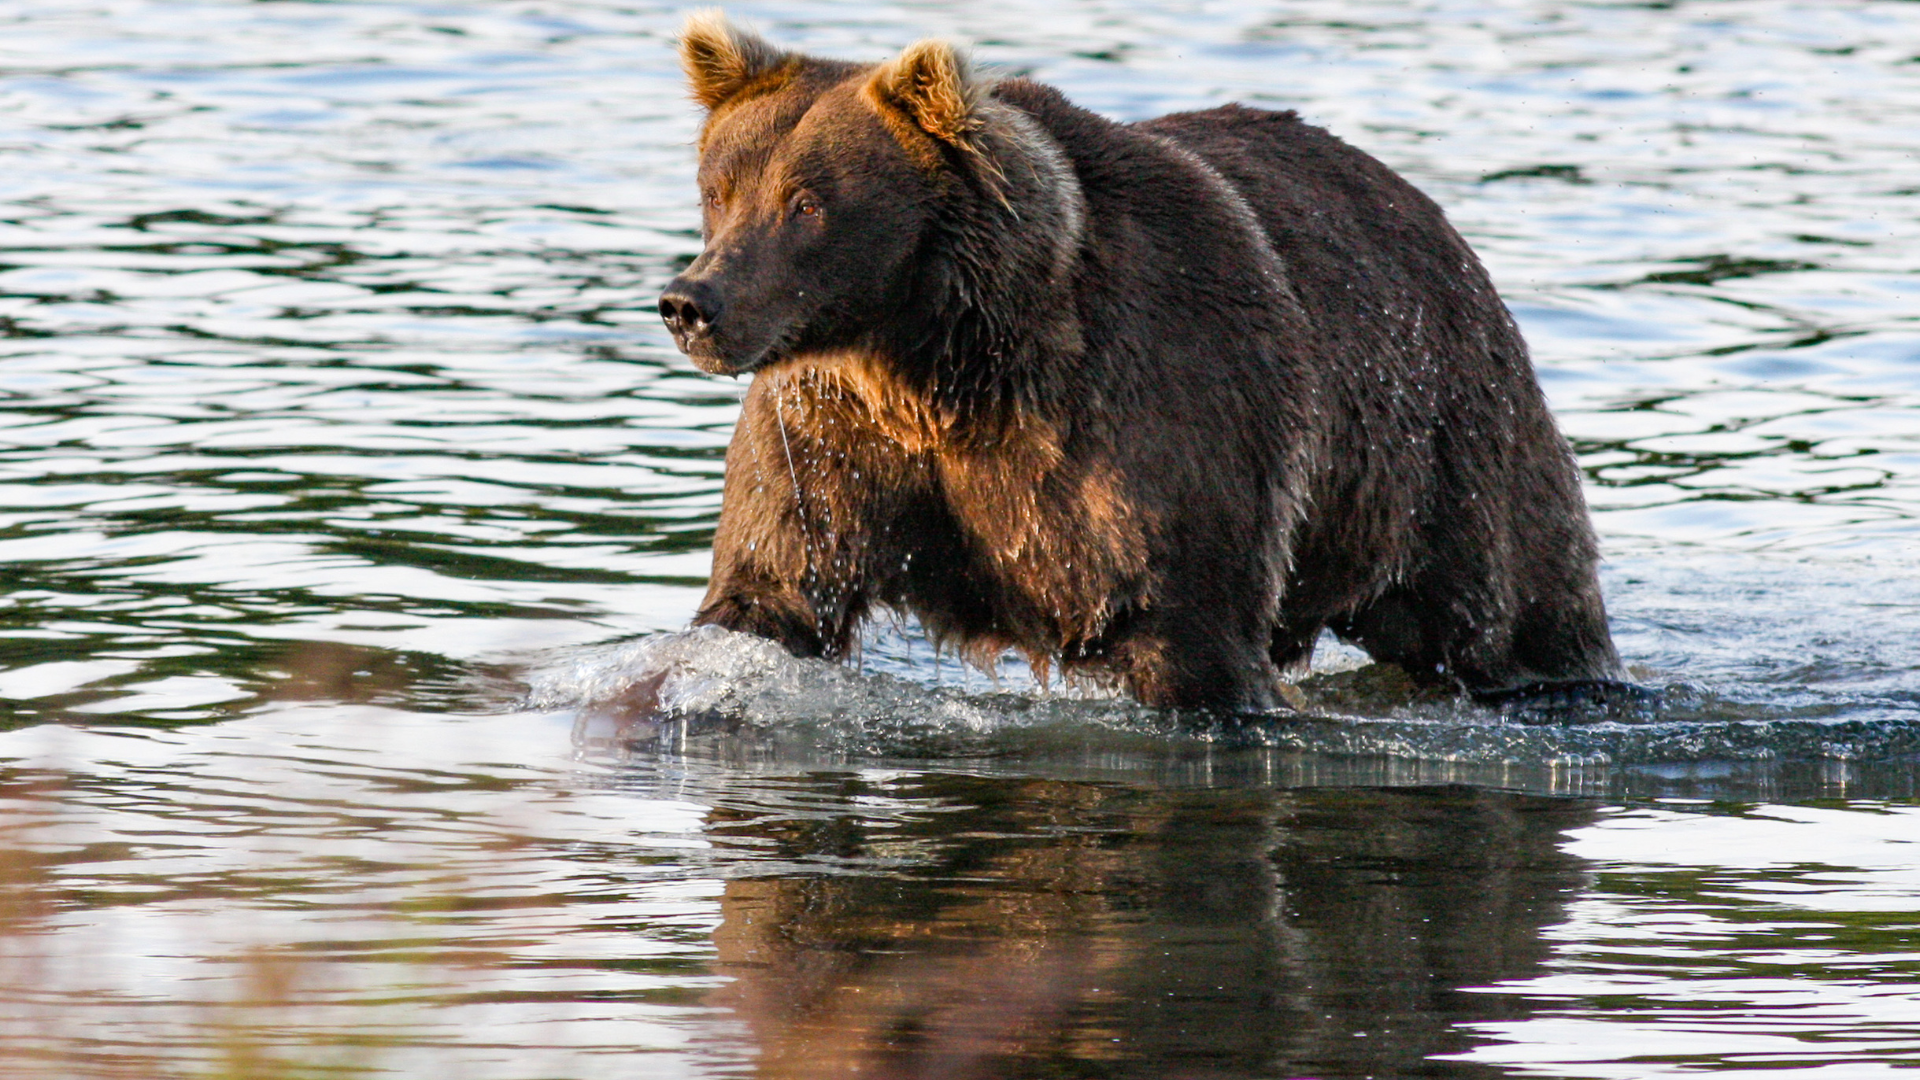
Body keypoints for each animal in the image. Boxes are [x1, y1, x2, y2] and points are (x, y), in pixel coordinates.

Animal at [656, 13, 1624, 712]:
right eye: (720, 189)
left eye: (808, 204)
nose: (691, 303)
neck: (942, 365)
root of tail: (1435, 221)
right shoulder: (830, 433)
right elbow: (769, 587)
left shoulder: (1154, 410)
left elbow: (1190, 628)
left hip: (1443, 447)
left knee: (1512, 606)